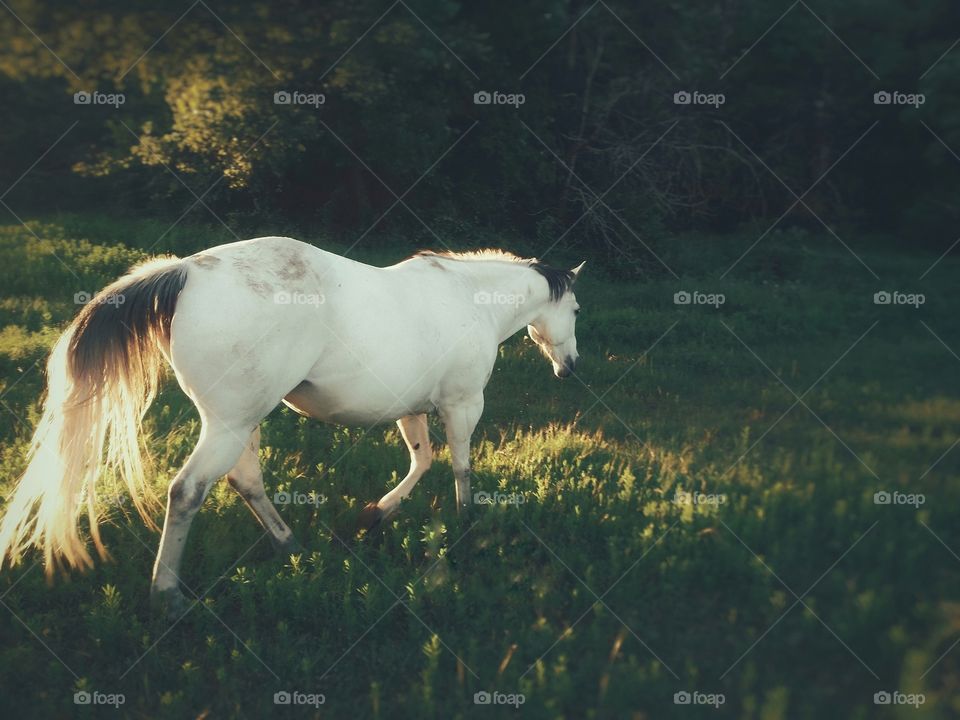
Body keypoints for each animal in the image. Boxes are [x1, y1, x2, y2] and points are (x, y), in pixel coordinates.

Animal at [0, 238, 584, 612]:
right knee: (188, 491)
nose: (571, 366)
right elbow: (460, 467)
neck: (468, 295)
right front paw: (465, 527)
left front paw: (377, 514)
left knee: (245, 481)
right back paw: (167, 593)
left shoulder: (412, 408)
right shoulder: (463, 405)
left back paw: (289, 545)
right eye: (576, 309)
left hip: (241, 423)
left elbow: (422, 460)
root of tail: (186, 270)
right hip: (230, 425)